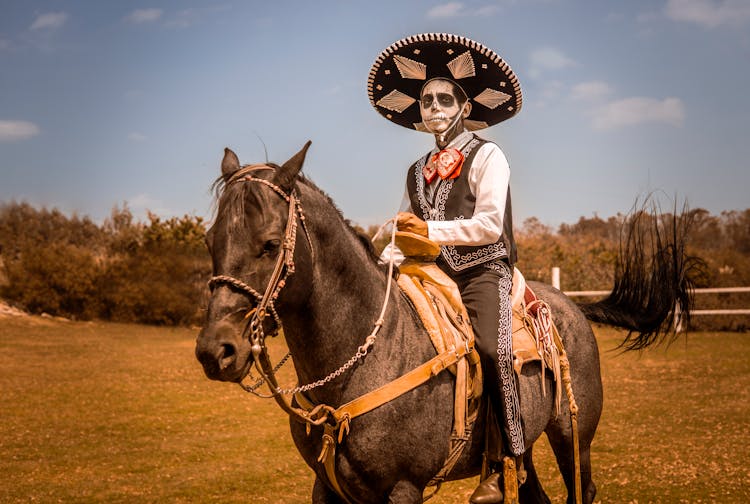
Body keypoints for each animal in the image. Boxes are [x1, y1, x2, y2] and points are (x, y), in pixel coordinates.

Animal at [197, 143, 704, 504]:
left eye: (268, 244)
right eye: (210, 240)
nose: (216, 350)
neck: (365, 357)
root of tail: (567, 306)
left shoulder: (403, 488)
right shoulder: (326, 488)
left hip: (573, 438)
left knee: (583, 490)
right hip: (525, 448)